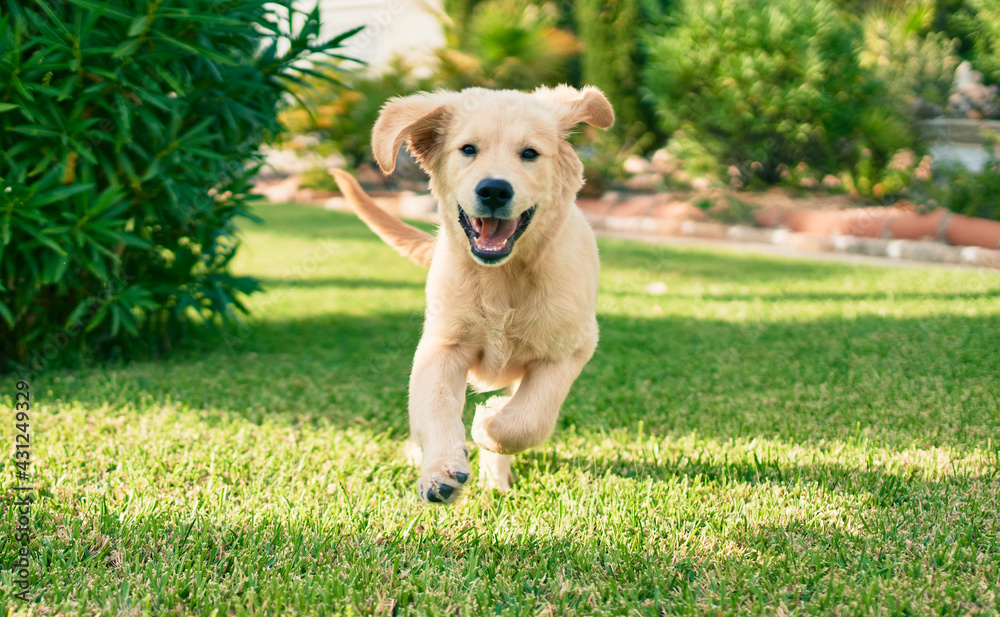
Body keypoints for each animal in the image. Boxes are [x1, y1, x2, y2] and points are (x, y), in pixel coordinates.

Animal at [330, 85, 608, 500]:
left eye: (530, 153)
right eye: (468, 149)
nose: (493, 190)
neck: (502, 278)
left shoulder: (569, 349)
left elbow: (528, 420)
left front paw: (488, 421)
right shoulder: (443, 344)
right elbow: (434, 404)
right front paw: (441, 471)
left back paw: (496, 478)